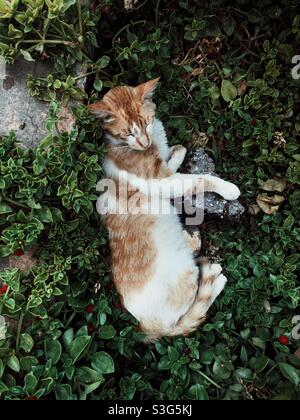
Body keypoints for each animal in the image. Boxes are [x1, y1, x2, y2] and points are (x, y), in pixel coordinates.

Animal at [88, 78, 240, 342]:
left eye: (147, 123)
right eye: (128, 133)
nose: (144, 142)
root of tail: (147, 327)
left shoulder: (165, 171)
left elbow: (174, 158)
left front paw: (176, 150)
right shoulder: (161, 181)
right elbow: (200, 179)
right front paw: (228, 188)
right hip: (185, 275)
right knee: (193, 309)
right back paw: (215, 276)